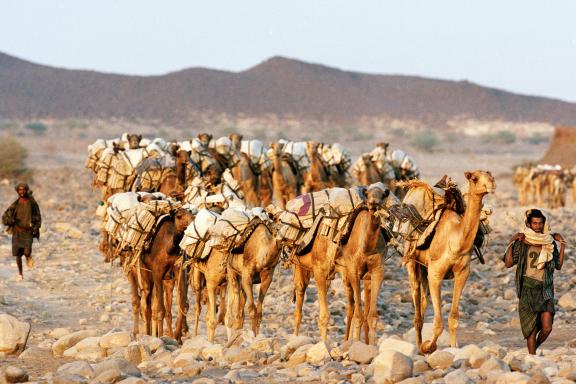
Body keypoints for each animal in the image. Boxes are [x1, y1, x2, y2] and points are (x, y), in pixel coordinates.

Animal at [404, 171, 496, 354]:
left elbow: (453, 318)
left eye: (490, 175)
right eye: (475, 178)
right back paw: (420, 346)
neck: (455, 241)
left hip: (424, 267)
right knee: (417, 302)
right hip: (411, 260)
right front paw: (429, 347)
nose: (492, 184)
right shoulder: (435, 273)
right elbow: (438, 324)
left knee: (424, 300)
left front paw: (454, 348)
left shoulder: (462, 273)